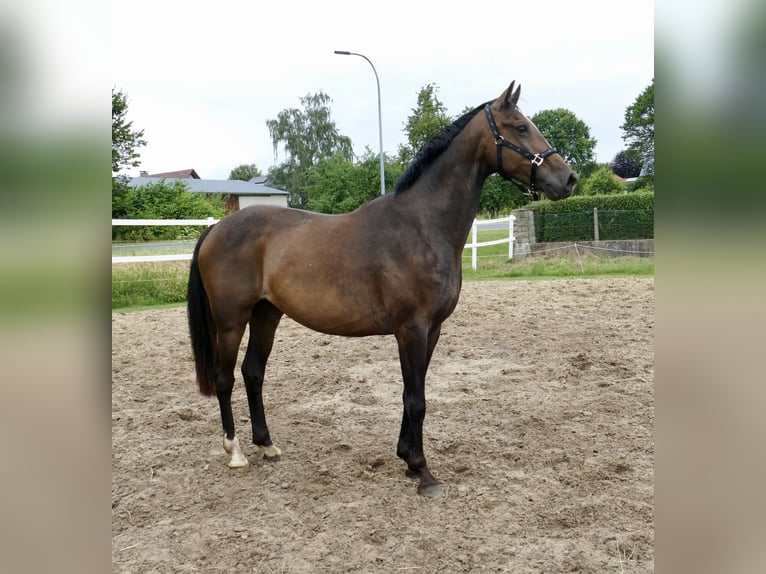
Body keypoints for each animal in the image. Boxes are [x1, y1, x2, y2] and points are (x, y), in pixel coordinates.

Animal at [187, 81, 577, 496]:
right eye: (520, 127)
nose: (569, 178)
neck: (421, 226)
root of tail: (216, 228)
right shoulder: (411, 329)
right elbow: (415, 398)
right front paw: (423, 471)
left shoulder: (432, 330)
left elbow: (414, 392)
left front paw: (406, 458)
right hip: (231, 320)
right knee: (225, 377)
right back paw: (235, 451)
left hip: (266, 314)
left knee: (253, 372)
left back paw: (267, 445)